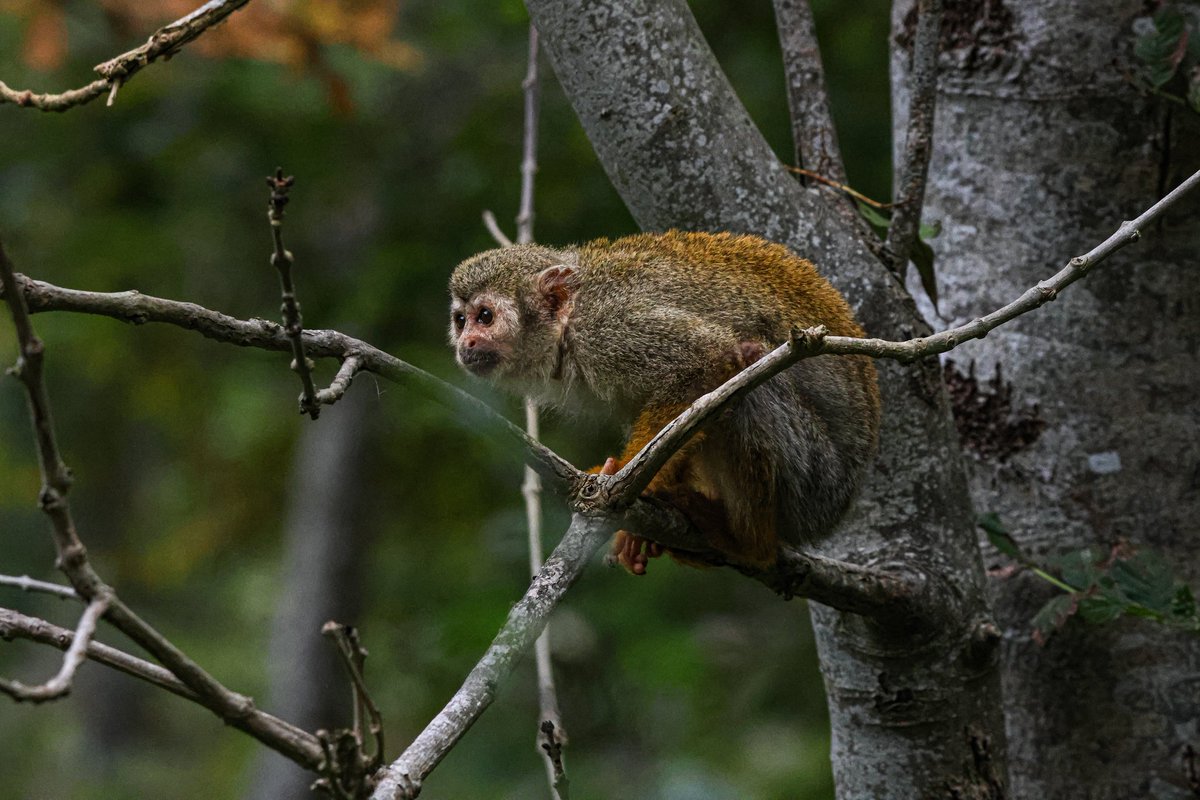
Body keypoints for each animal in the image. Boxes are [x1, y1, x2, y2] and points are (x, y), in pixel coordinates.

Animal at [449, 230, 880, 575]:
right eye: (461, 320)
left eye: (484, 316)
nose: (465, 343)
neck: (568, 326)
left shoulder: (611, 328)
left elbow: (707, 358)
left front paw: (627, 486)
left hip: (814, 482)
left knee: (748, 383)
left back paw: (748, 544)